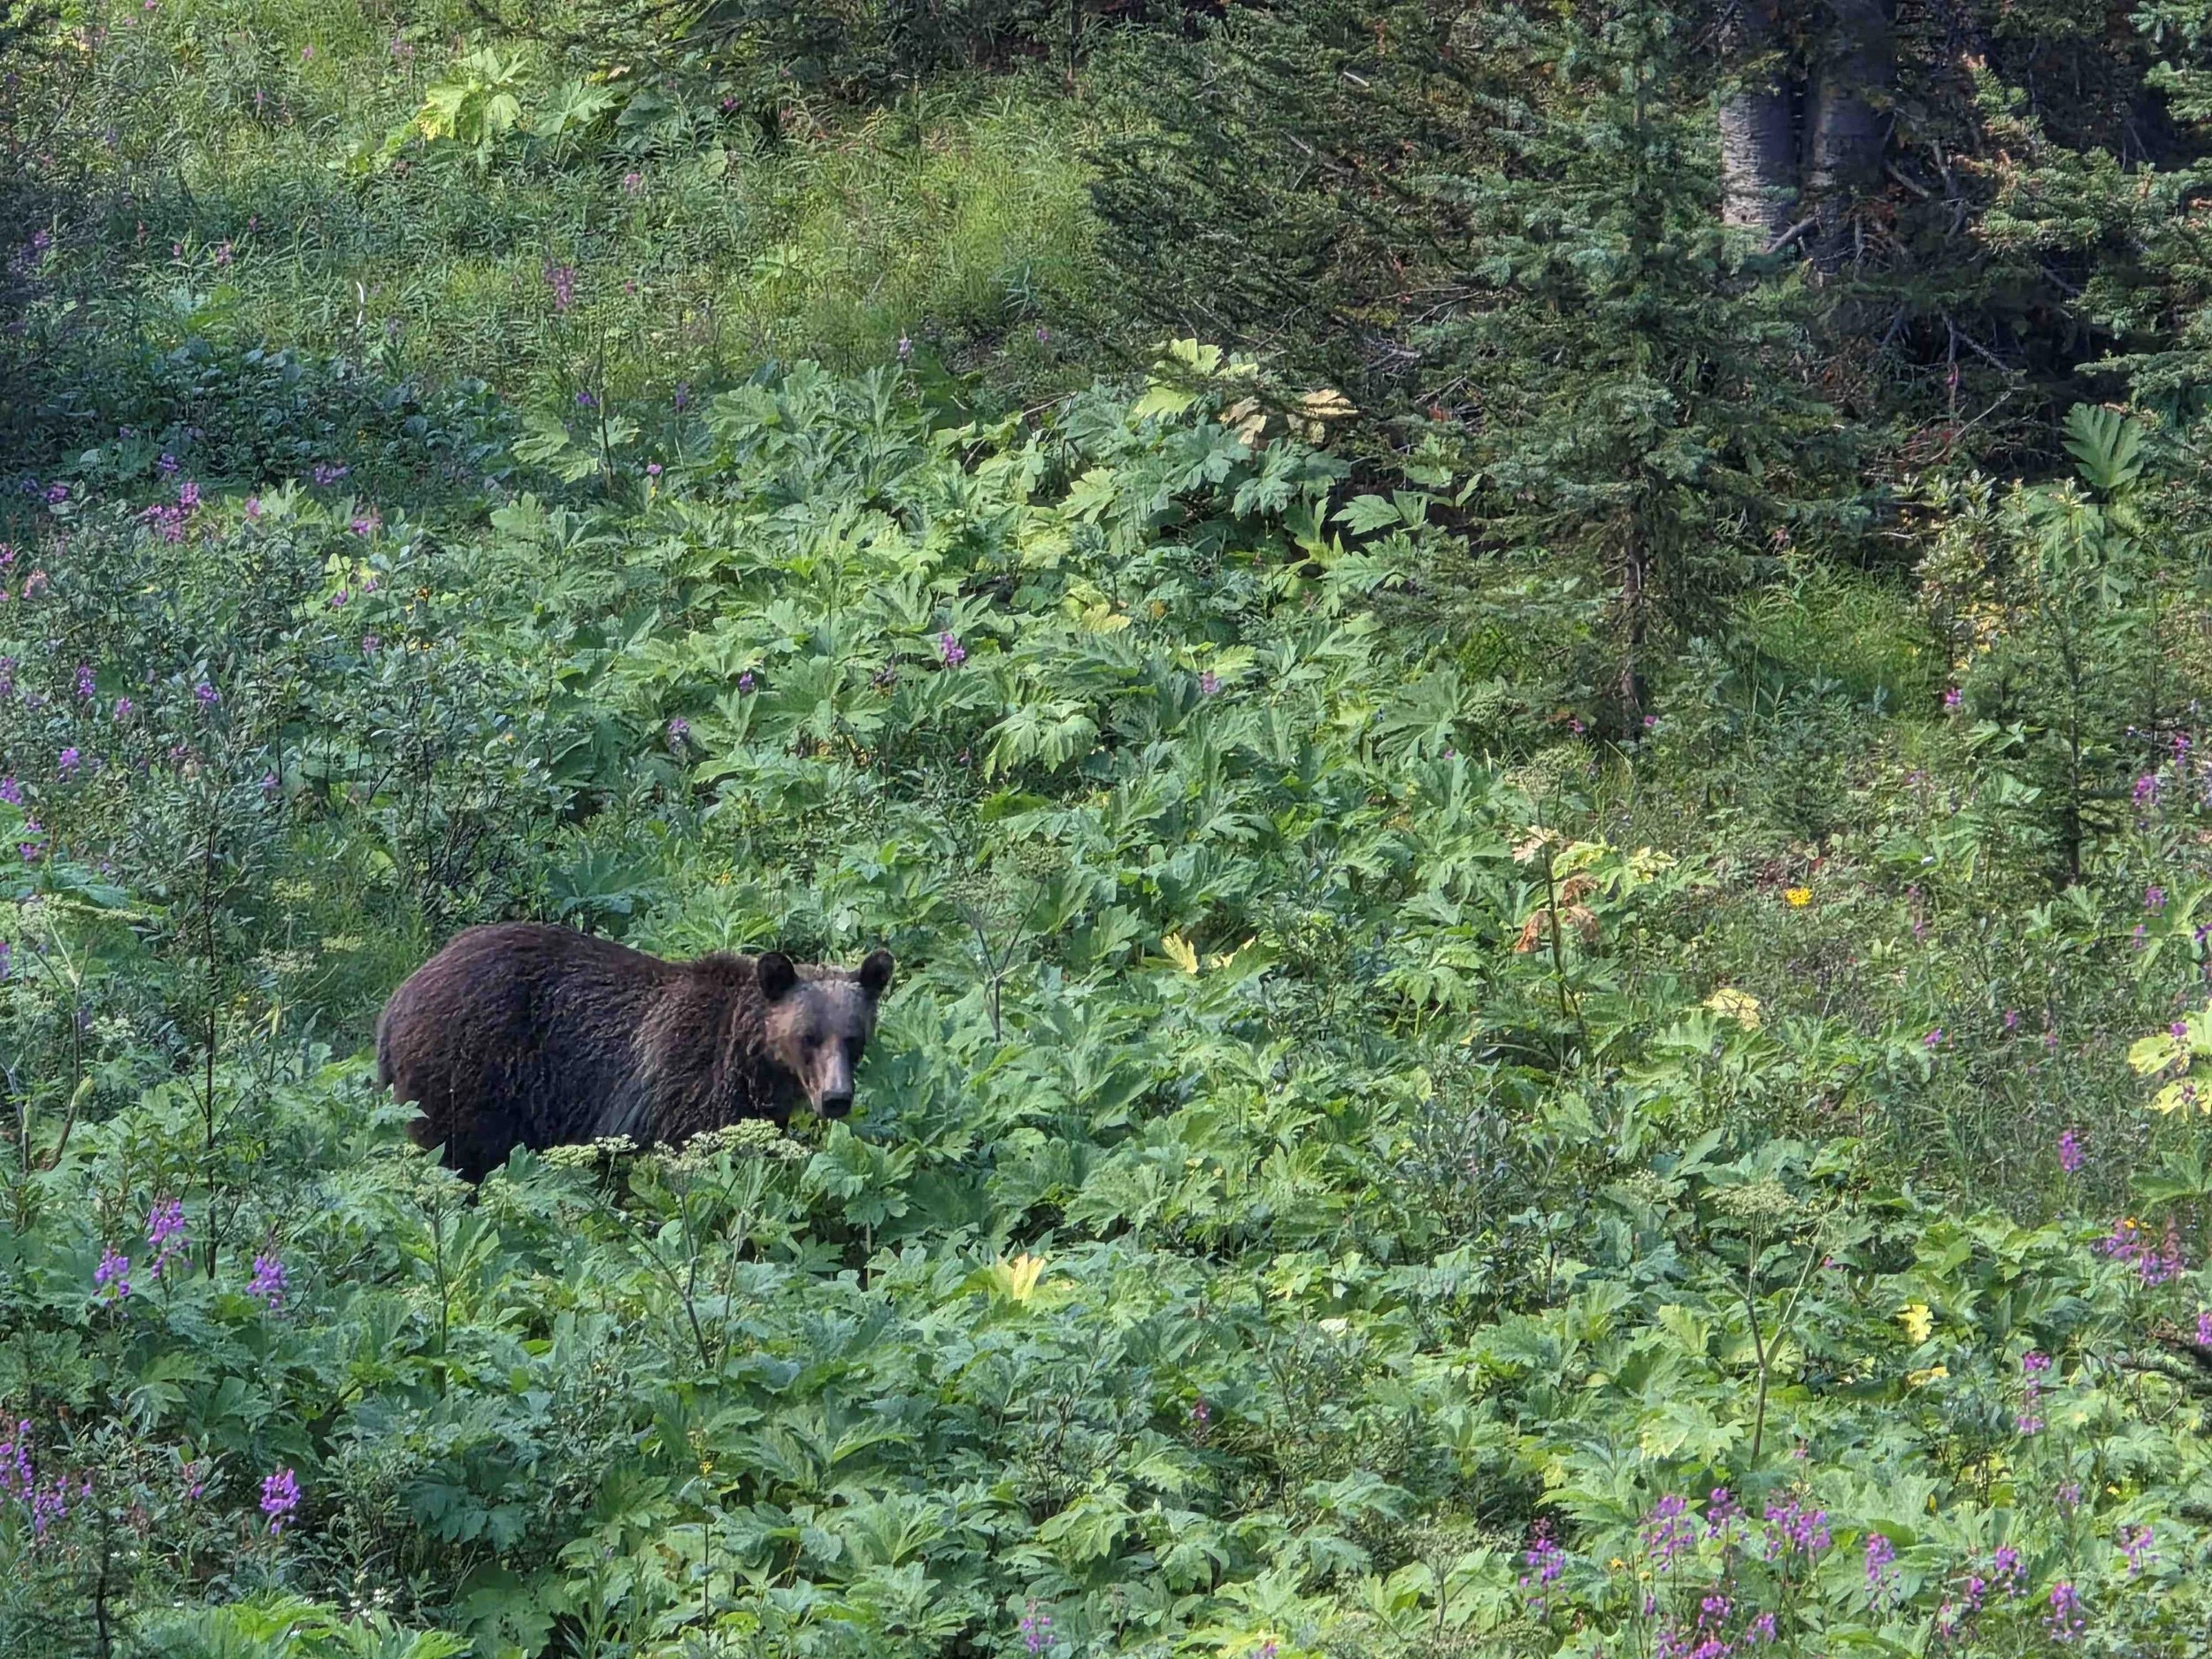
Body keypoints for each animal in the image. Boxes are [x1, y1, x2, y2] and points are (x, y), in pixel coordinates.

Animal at [374, 921, 894, 1181]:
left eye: (854, 1038)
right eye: (808, 1036)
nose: (836, 1098)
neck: (754, 1065)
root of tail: (395, 1002)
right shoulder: (683, 1084)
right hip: (470, 1069)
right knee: (461, 1154)